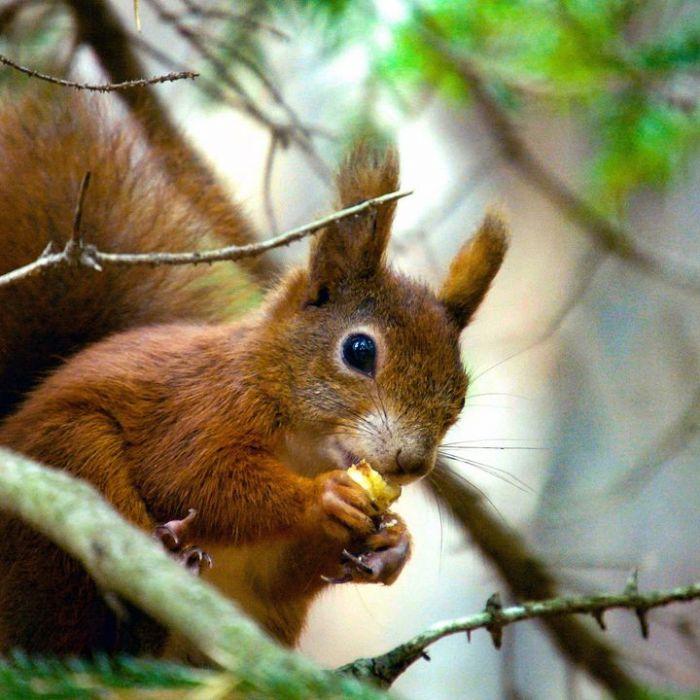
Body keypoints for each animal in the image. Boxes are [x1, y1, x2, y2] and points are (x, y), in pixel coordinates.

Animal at [0, 93, 508, 656]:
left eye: (460, 397)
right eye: (359, 351)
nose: (412, 463)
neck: (305, 449)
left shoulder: (272, 575)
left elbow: (288, 574)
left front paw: (393, 545)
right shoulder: (199, 409)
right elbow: (196, 476)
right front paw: (322, 498)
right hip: (68, 458)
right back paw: (166, 552)